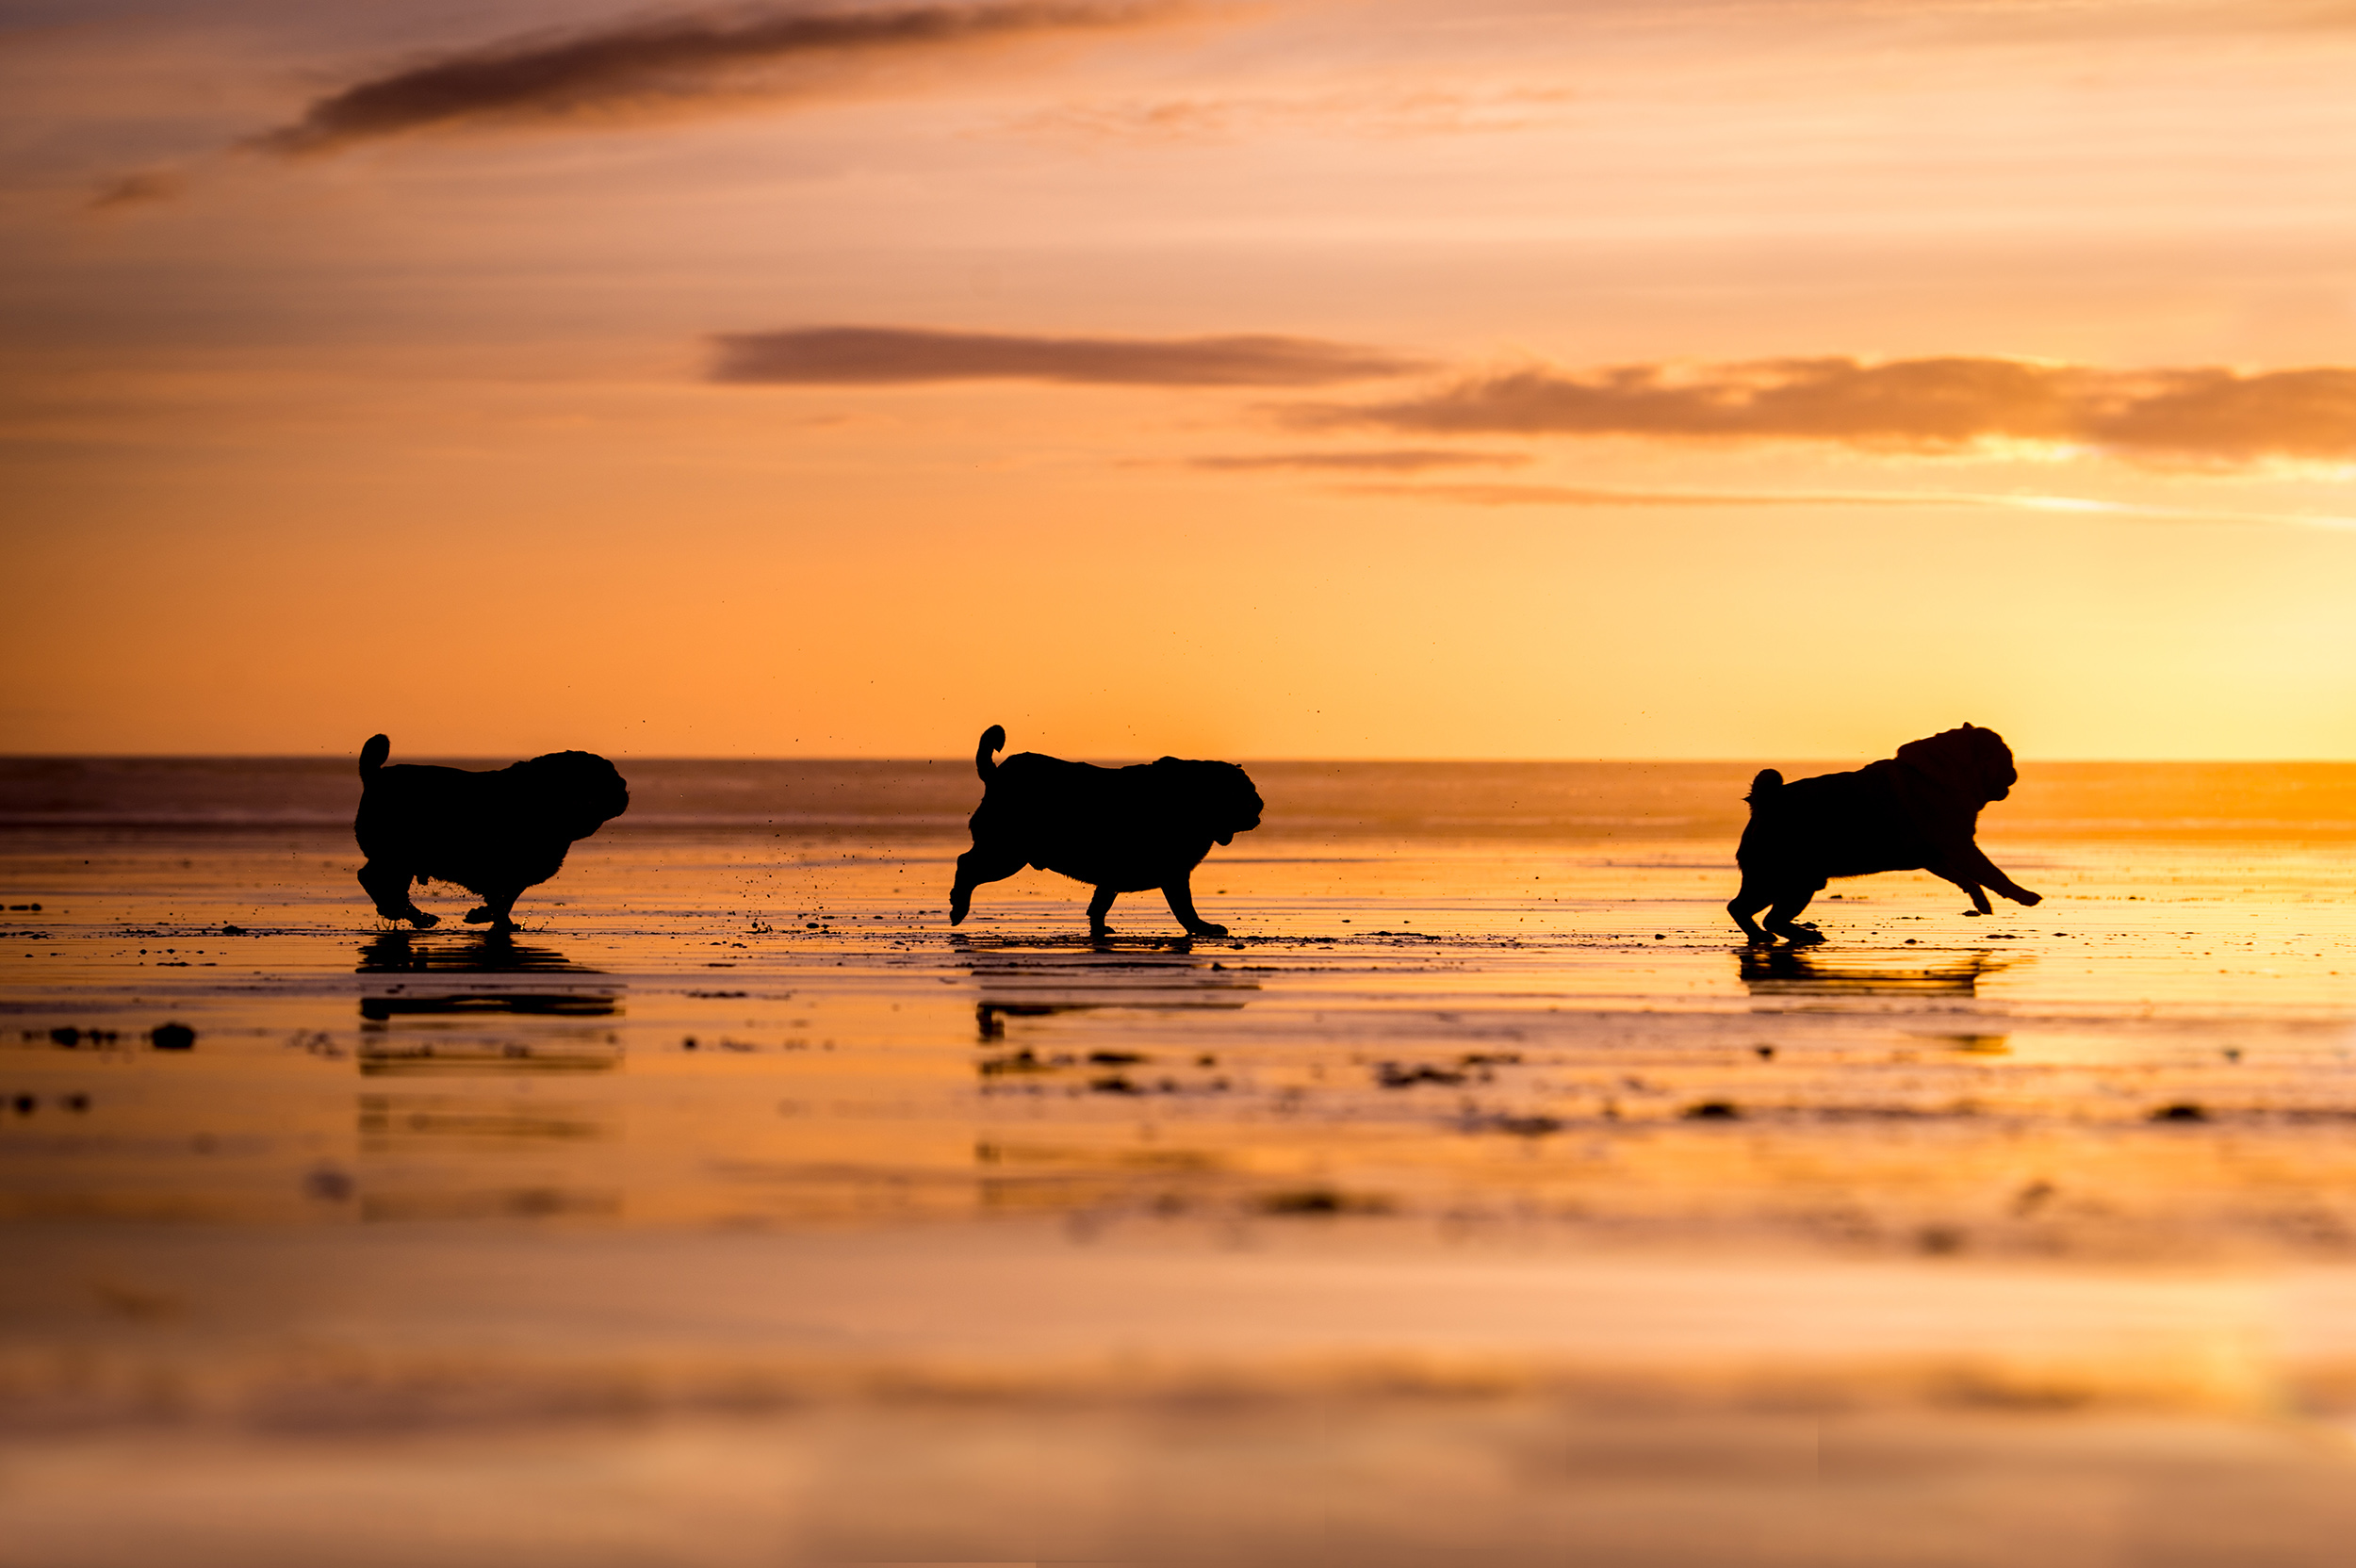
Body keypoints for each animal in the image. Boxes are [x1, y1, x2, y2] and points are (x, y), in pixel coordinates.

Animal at [351, 734, 627, 927]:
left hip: (403, 861)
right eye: (605, 781)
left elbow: (507, 898)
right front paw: (494, 919)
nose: (624, 787)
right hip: (396, 857)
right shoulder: (501, 870)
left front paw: (486, 916)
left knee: (386, 885)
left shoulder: (517, 874)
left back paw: (405, 913)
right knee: (372, 878)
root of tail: (375, 776)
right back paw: (409, 915)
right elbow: (500, 899)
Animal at [947, 725, 1263, 932]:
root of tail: (995, 776)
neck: (1194, 797)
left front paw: (1099, 929)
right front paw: (1202, 927)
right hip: (1006, 855)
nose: (1260, 806)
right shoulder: (1174, 875)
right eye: (1246, 795)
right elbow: (1185, 908)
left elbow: (1100, 903)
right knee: (966, 866)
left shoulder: (1113, 877)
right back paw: (958, 908)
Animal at [1725, 720, 2036, 941]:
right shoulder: (1961, 848)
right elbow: (1992, 874)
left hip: (1790, 883)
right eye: (2004, 758)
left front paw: (1981, 900)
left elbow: (1968, 880)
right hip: (1789, 881)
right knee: (1758, 914)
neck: (1944, 775)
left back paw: (1781, 936)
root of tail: (1765, 801)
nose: (2015, 771)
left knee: (1750, 911)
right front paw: (2024, 895)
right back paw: (1789, 935)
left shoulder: (1938, 858)